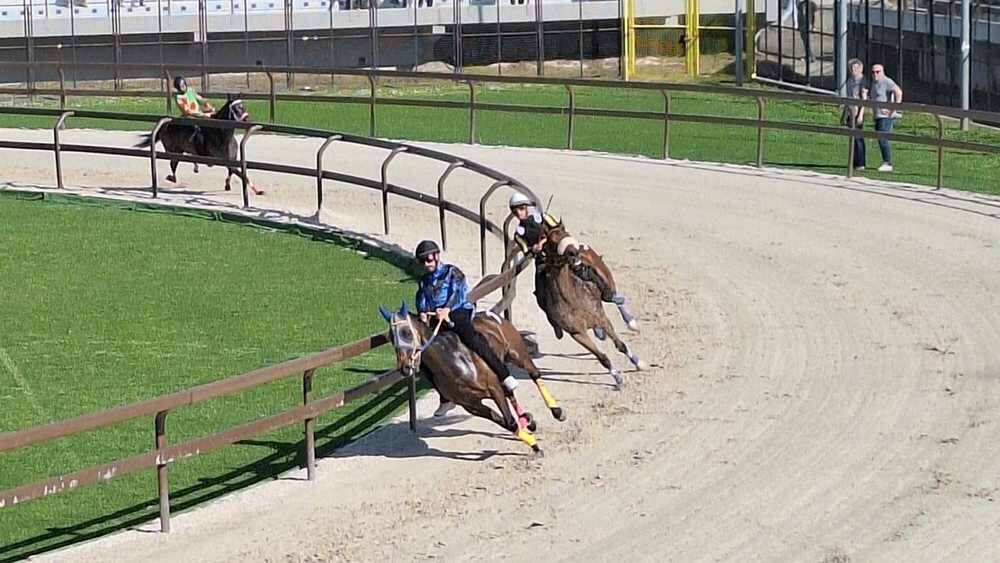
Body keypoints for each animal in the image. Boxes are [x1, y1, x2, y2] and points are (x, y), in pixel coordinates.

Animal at [380, 302, 560, 456]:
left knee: (534, 375)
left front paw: (535, 446)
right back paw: (527, 419)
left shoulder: (493, 388)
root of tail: (490, 314)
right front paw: (531, 439)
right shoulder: (472, 405)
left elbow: (509, 421)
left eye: (406, 333)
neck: (454, 362)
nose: (404, 368)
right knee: (509, 391)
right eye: (391, 337)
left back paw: (556, 410)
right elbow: (506, 422)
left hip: (517, 354)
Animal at [536, 223, 644, 390]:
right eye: (552, 241)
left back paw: (630, 321)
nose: (574, 252)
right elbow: (602, 357)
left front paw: (638, 363)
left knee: (615, 299)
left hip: (606, 282)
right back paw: (599, 333)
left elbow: (621, 345)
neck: (572, 299)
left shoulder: (601, 318)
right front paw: (618, 379)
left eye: (566, 233)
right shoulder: (577, 333)